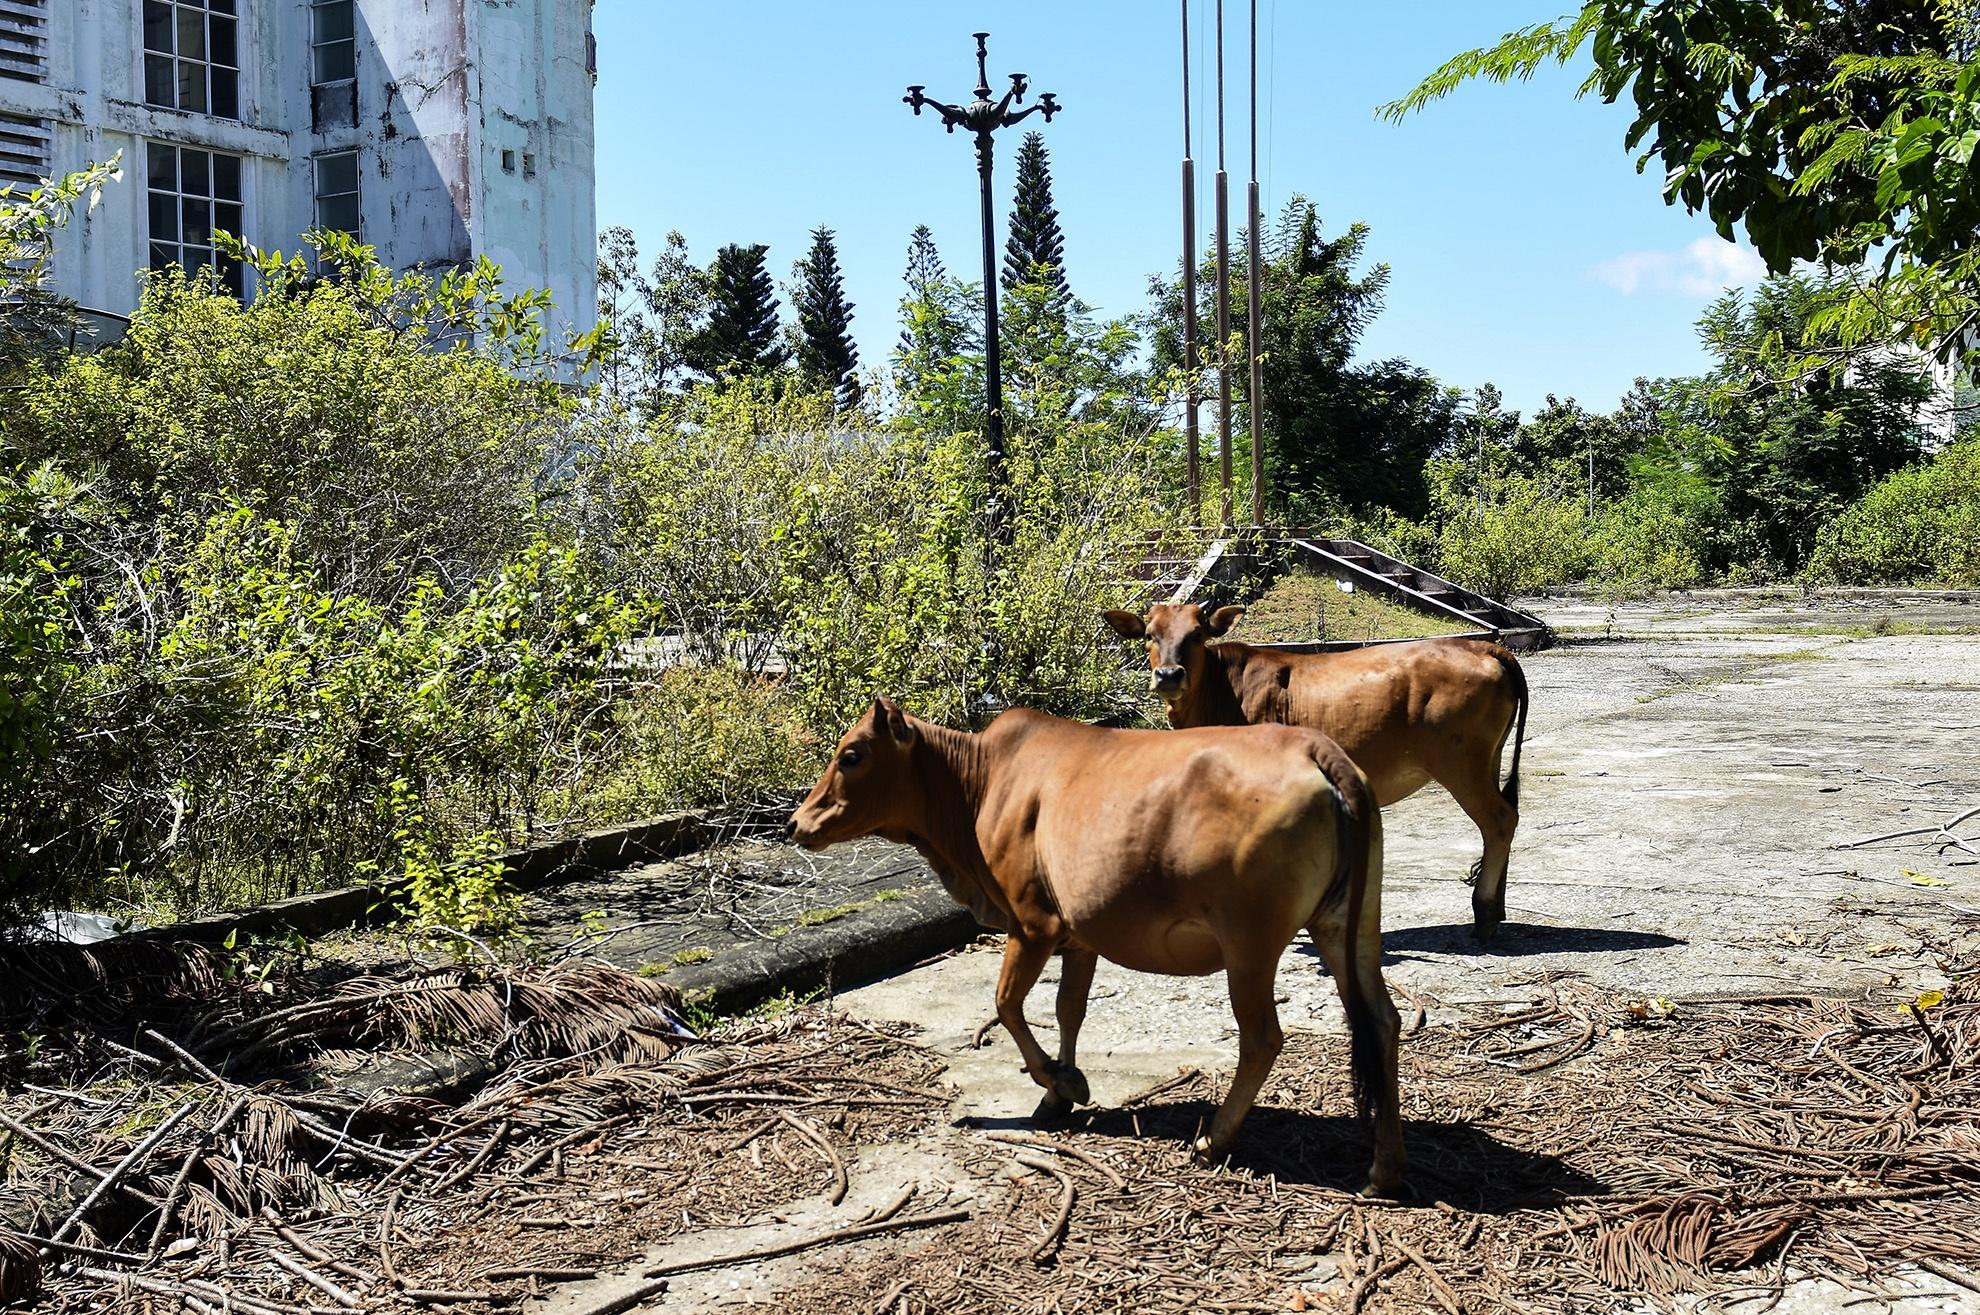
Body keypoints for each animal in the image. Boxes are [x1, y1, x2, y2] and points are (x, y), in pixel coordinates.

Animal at [788, 705, 1409, 1196]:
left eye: (852, 755)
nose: (796, 823)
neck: (978, 783)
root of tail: (1316, 747)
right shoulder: (1077, 936)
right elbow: (1070, 1010)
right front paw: (1059, 1093)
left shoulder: (1032, 923)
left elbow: (1007, 1004)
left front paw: (1061, 1084)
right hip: (1348, 925)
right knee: (1382, 1020)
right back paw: (1383, 1170)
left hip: (1249, 943)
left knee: (1262, 1038)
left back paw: (1213, 1140)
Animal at [1100, 602, 1528, 938]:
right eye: (1150, 635)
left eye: (1197, 633)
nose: (1169, 675)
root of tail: (1481, 644)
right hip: (1487, 759)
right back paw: (1497, 906)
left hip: (1461, 764)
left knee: (1499, 820)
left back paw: (1485, 913)